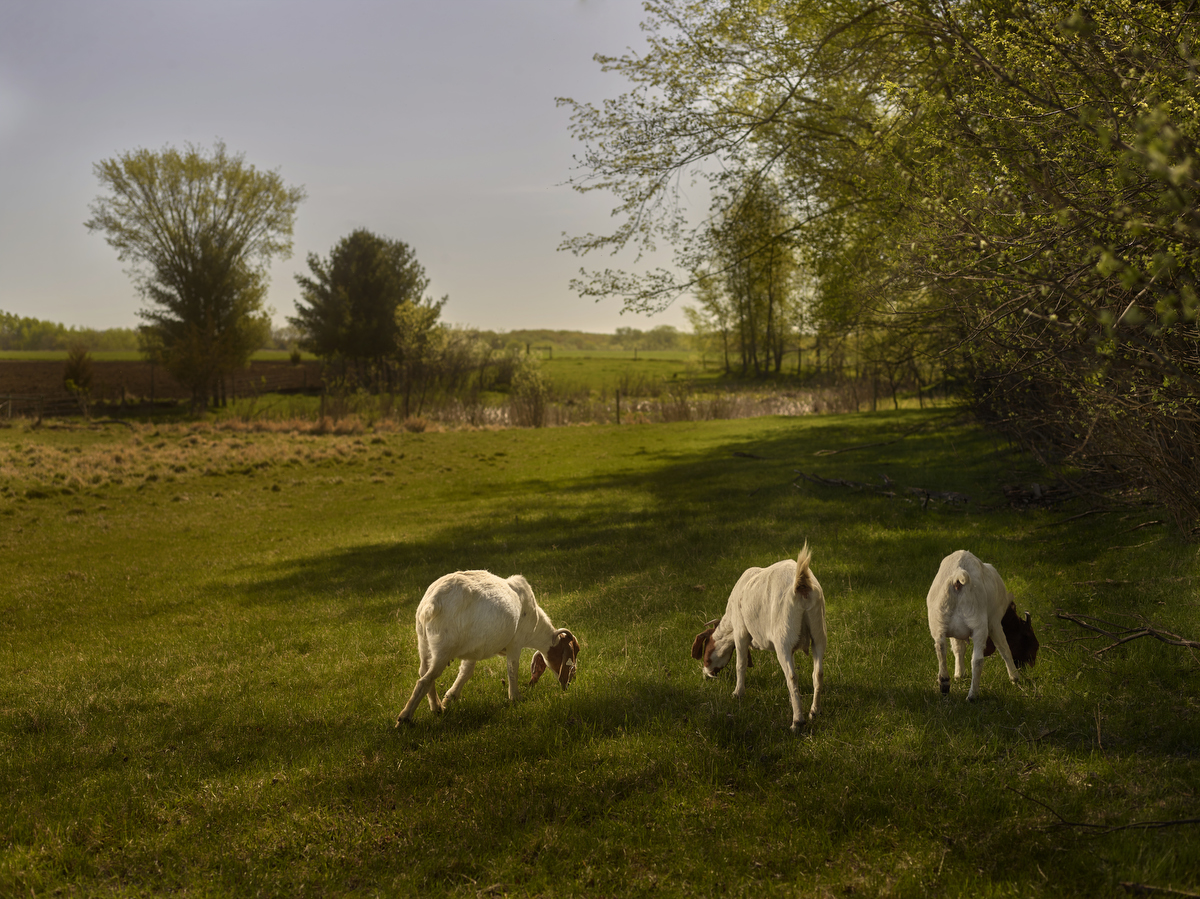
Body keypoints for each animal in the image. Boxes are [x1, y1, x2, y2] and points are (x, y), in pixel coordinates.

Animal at [396, 571, 578, 724]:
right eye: (569, 658)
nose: (569, 683)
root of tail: (432, 603)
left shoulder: (473, 650)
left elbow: (466, 672)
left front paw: (451, 696)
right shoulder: (515, 643)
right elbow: (512, 669)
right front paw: (515, 697)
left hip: (424, 642)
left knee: (424, 672)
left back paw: (438, 707)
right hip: (444, 648)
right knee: (424, 680)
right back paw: (405, 718)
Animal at [691, 540, 830, 729]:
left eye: (705, 654)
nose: (706, 674)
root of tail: (801, 585)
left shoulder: (741, 631)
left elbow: (740, 664)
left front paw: (737, 693)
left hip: (783, 639)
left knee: (792, 677)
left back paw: (797, 721)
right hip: (818, 633)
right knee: (818, 674)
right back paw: (814, 712)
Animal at [921, 547, 1036, 700]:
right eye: (1027, 637)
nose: (1030, 664)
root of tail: (958, 576)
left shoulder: (955, 632)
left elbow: (958, 648)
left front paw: (959, 675)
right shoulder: (994, 622)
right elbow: (1004, 648)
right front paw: (1014, 678)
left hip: (938, 622)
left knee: (940, 648)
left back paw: (944, 683)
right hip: (979, 624)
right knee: (977, 660)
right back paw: (972, 695)